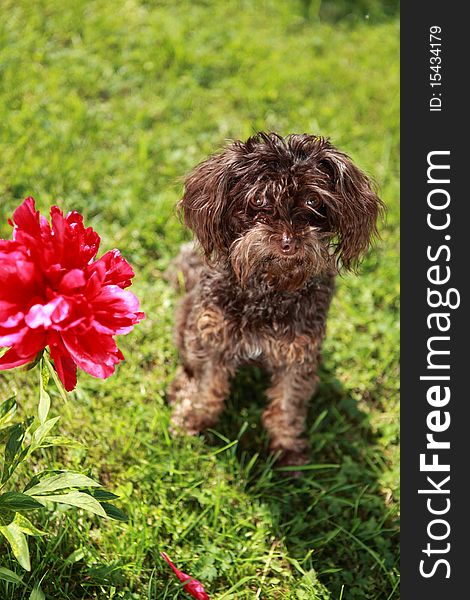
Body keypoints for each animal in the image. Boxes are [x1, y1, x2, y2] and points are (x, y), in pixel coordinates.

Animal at [168, 134, 382, 466]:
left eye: (313, 201)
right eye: (257, 200)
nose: (288, 242)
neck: (268, 291)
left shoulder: (299, 353)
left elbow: (287, 403)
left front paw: (288, 448)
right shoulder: (212, 337)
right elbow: (206, 388)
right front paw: (191, 421)